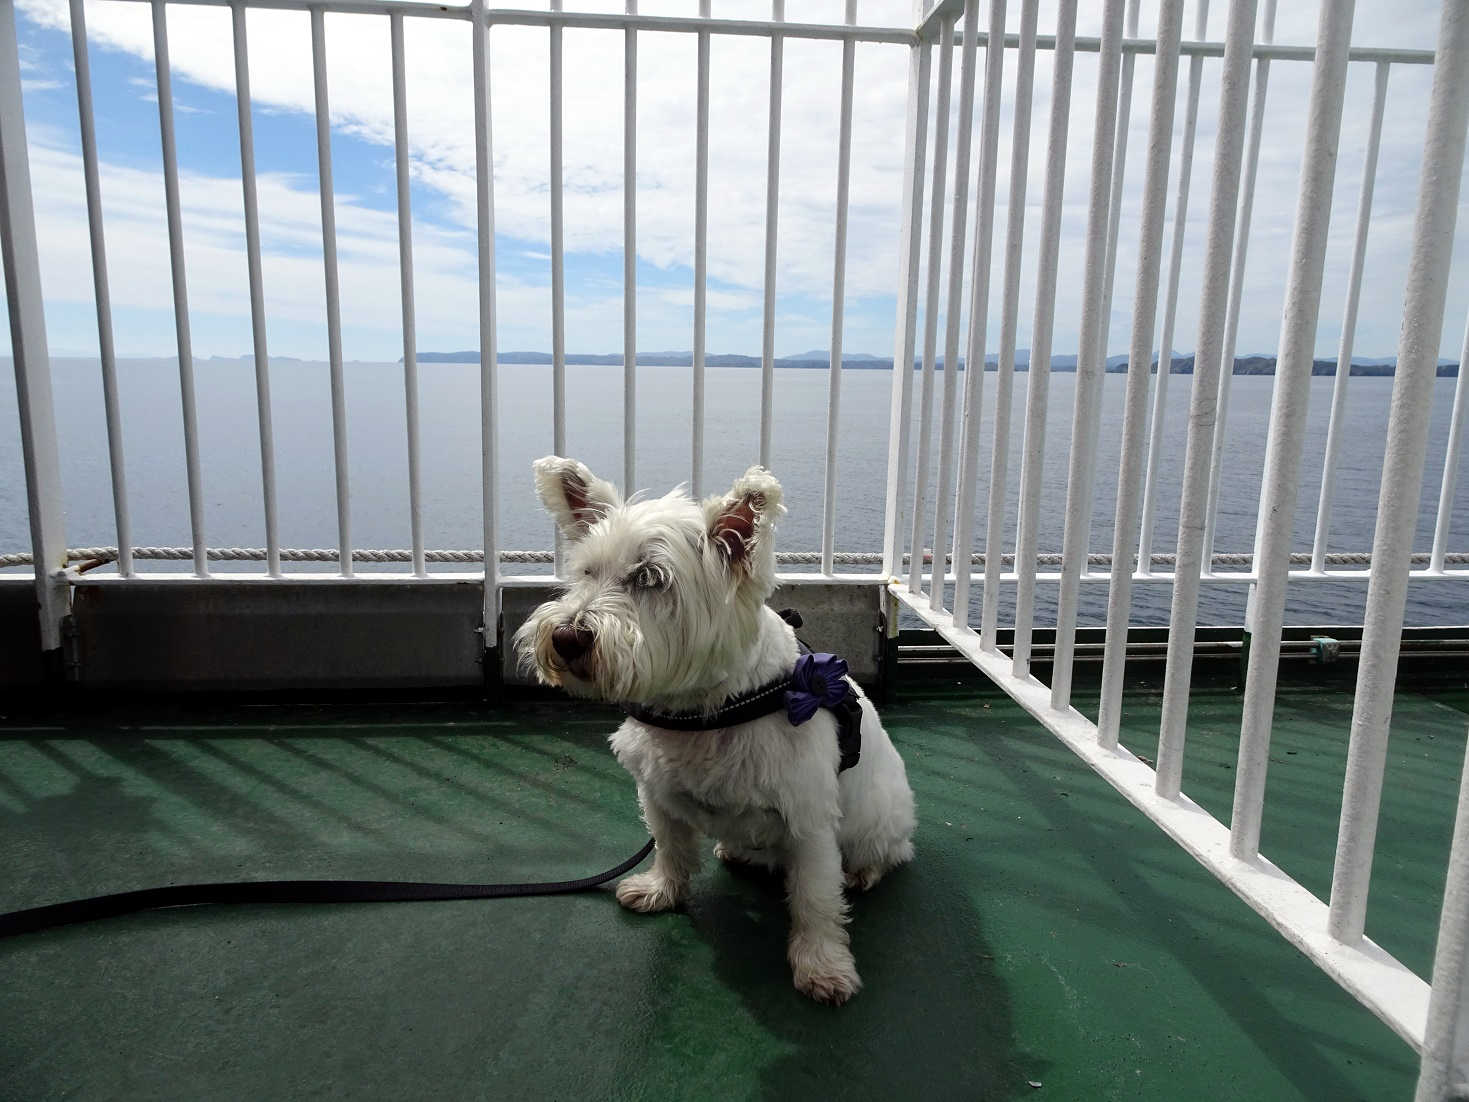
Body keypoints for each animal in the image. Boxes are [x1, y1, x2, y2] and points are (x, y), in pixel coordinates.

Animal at [511, 452, 910, 1005]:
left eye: (650, 578)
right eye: (587, 572)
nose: (568, 637)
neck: (704, 711)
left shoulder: (809, 819)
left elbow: (815, 899)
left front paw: (823, 967)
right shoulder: (656, 790)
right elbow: (671, 847)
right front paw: (660, 891)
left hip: (880, 817)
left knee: (887, 852)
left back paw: (862, 872)